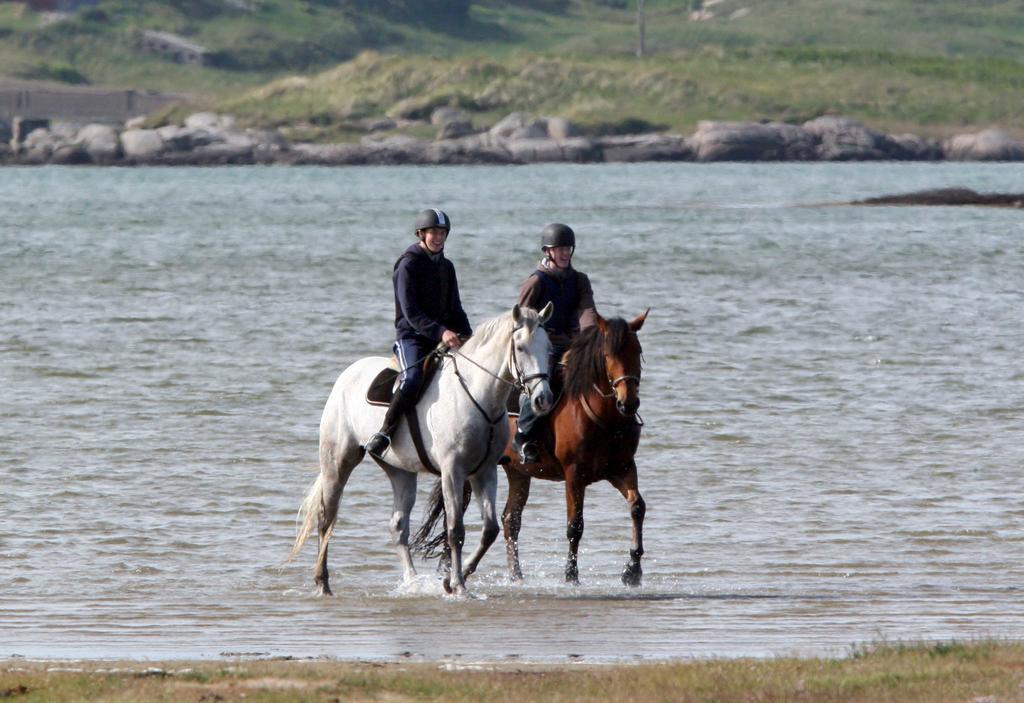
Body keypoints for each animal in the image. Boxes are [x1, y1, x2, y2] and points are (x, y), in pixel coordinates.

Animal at [292, 304, 557, 597]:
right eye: (520, 347)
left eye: (549, 348)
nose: (543, 399)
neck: (477, 395)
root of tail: (348, 374)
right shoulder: (453, 471)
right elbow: (455, 530)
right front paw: (459, 585)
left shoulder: (485, 471)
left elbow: (490, 529)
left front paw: (453, 579)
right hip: (338, 463)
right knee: (326, 518)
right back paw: (322, 583)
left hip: (399, 470)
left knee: (398, 525)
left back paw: (412, 582)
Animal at [409, 313, 647, 589]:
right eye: (607, 355)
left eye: (637, 351)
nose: (628, 402)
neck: (605, 419)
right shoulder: (574, 475)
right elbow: (575, 525)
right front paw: (571, 575)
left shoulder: (623, 468)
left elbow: (637, 507)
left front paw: (632, 570)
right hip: (467, 470)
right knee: (456, 514)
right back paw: (449, 570)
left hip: (518, 472)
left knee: (510, 519)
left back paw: (515, 575)